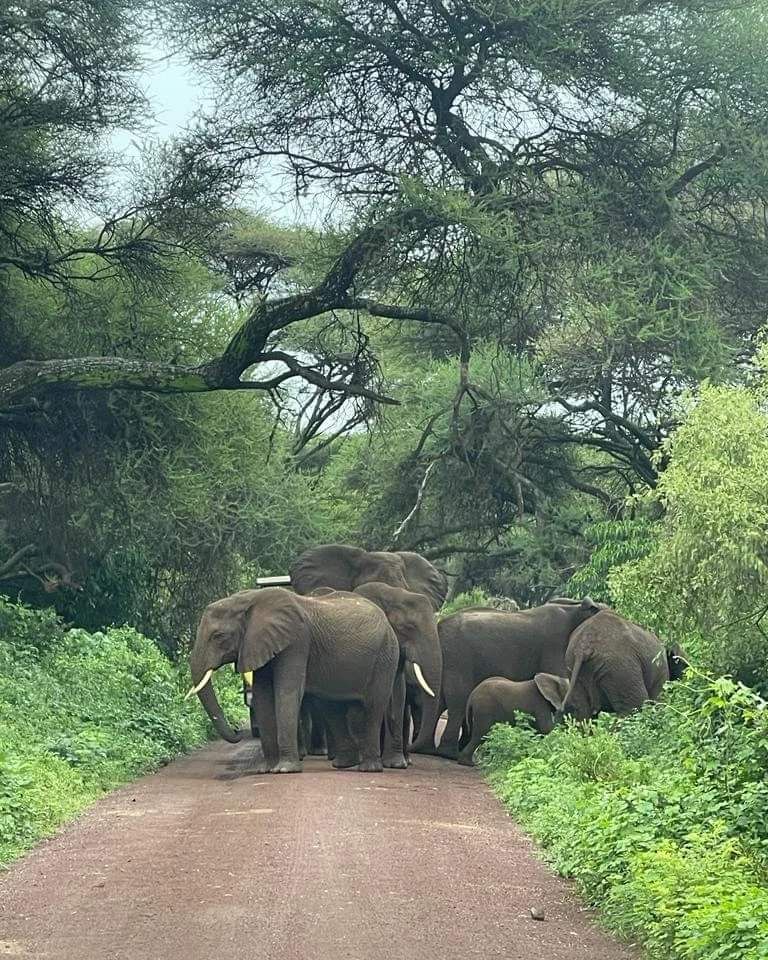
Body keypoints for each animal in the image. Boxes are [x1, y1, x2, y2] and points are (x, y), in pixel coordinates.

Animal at [186, 587, 399, 773]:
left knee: (373, 707)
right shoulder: (260, 643)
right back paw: (343, 765)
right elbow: (262, 697)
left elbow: (287, 691)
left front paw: (285, 770)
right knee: (332, 707)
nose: (237, 731)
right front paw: (266, 770)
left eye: (218, 636)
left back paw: (369, 769)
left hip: (386, 656)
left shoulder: (296, 640)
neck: (249, 599)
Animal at [456, 673, 594, 766]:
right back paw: (469, 763)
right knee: (481, 735)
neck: (553, 677)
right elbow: (546, 728)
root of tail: (471, 696)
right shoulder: (539, 703)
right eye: (574, 699)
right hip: (485, 708)